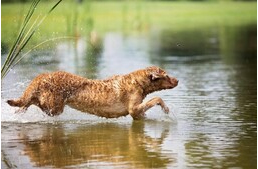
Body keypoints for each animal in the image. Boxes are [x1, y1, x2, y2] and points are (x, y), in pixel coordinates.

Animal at [7, 65, 177, 119]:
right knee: (33, 101)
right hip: (54, 107)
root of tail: (42, 76)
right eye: (167, 75)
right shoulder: (133, 109)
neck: (138, 83)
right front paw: (166, 109)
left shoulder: (137, 113)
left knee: (28, 101)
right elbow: (157, 98)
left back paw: (19, 110)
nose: (178, 81)